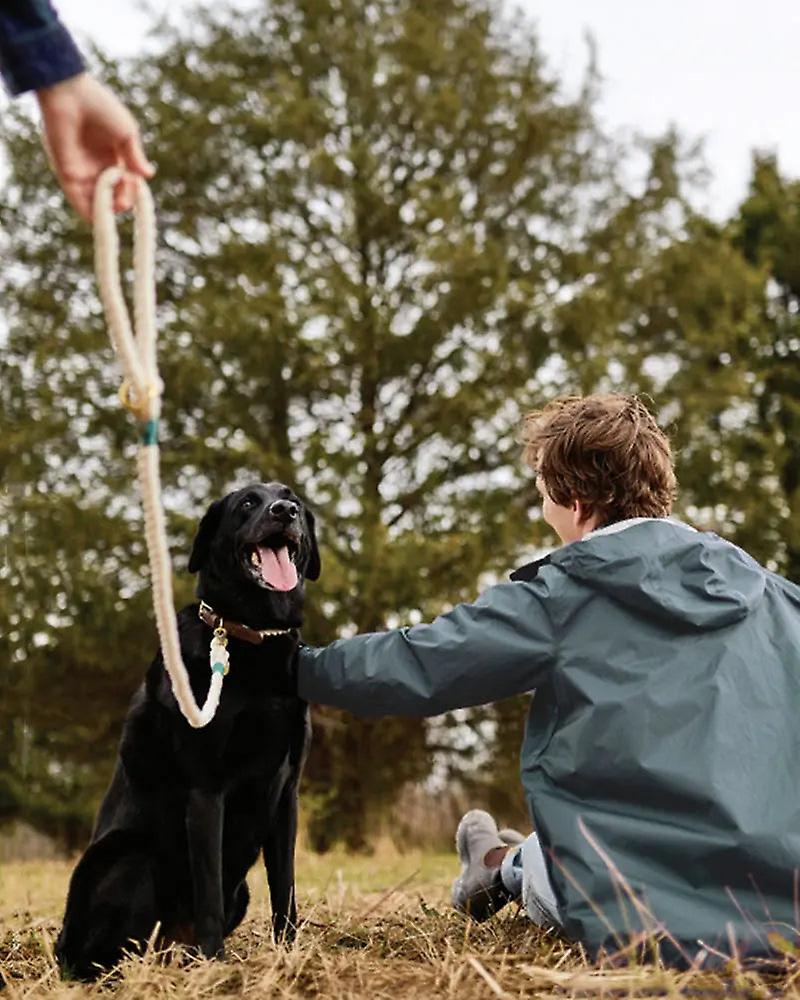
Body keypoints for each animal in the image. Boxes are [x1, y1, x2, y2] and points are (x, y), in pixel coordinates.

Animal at [56, 480, 320, 980]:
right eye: (247, 503)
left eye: (293, 498)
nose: (285, 511)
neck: (251, 635)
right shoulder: (206, 790)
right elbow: (208, 892)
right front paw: (218, 965)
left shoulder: (286, 793)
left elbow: (286, 889)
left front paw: (291, 957)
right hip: (133, 861)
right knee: (109, 955)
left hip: (237, 891)